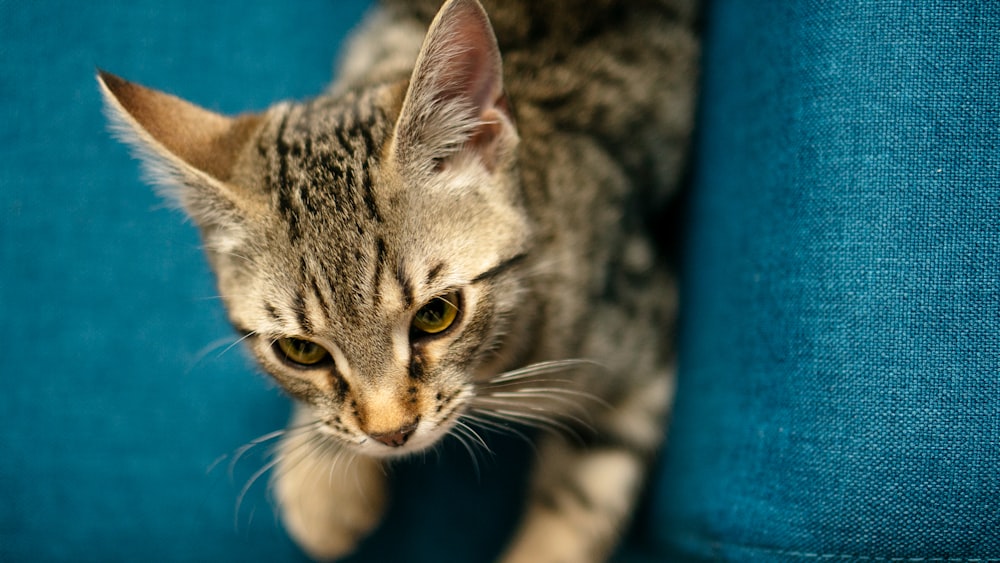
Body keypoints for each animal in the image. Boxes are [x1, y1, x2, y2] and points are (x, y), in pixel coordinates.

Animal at [97, 0, 700, 560]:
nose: (391, 434)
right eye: (301, 350)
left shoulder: (643, 336)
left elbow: (580, 496)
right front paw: (323, 479)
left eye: (437, 315)